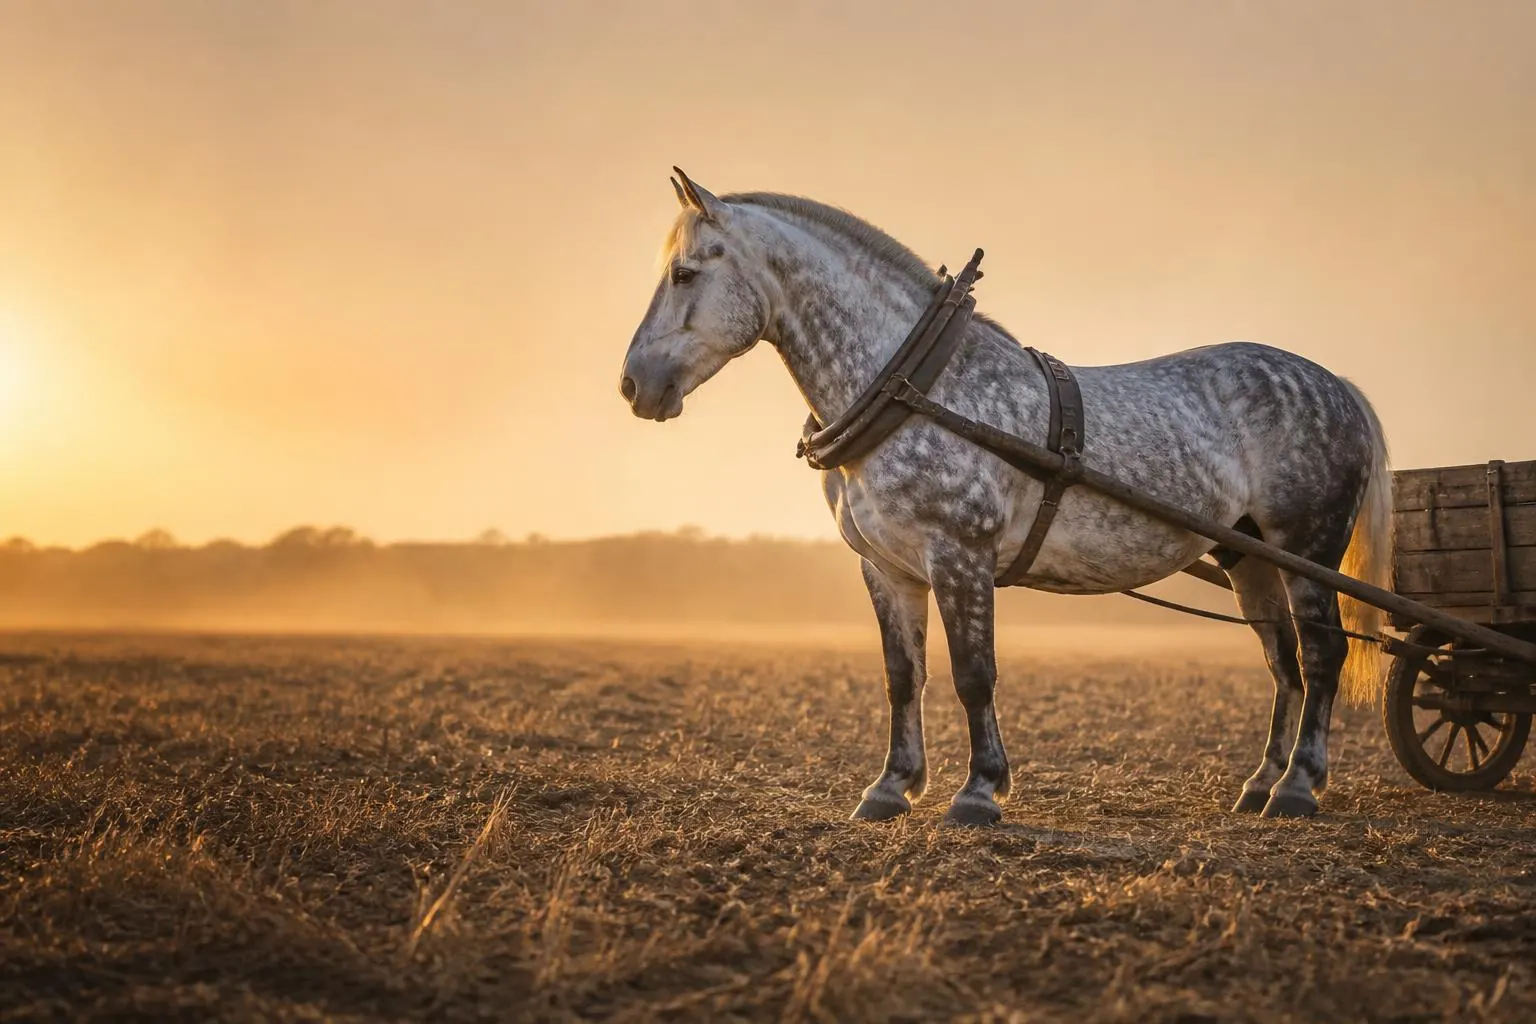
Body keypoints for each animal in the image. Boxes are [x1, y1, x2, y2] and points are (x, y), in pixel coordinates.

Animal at [619, 168, 1392, 826]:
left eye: (685, 272)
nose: (633, 385)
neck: (918, 389)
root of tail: (1336, 386)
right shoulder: (887, 568)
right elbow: (903, 677)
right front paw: (890, 788)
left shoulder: (961, 555)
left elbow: (973, 674)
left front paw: (979, 791)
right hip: (1249, 557)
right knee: (1283, 660)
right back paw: (1261, 783)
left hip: (1307, 547)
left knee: (1322, 655)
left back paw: (1298, 787)